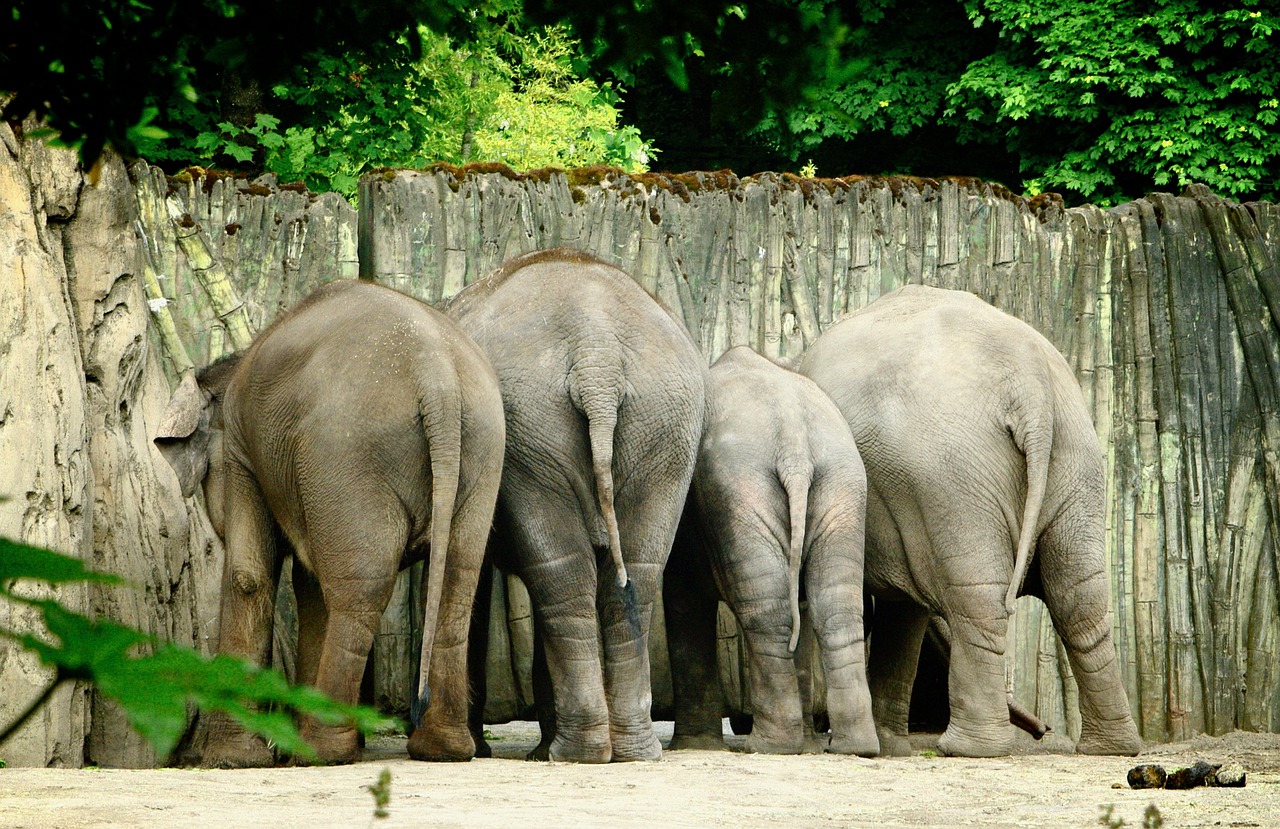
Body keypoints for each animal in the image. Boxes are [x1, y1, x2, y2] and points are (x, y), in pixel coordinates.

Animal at [154, 276, 504, 762]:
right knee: (455, 583)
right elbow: (309, 585)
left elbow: (249, 577)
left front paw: (230, 760)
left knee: (360, 591)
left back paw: (321, 751)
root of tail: (438, 379)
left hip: (346, 453)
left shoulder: (242, 455)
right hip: (480, 449)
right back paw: (441, 749)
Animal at [442, 248, 706, 762]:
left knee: (562, 573)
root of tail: (596, 353)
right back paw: (628, 750)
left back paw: (570, 752)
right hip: (658, 425)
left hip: (541, 428)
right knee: (633, 572)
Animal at [660, 345, 880, 752]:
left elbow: (683, 600)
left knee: (768, 610)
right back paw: (852, 747)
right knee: (835, 607)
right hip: (842, 485)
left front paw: (693, 746)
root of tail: (794, 446)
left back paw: (766, 745)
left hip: (742, 489)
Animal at [798, 285, 1141, 757]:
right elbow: (903, 610)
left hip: (952, 475)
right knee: (1080, 602)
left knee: (979, 598)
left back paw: (967, 748)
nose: (1042, 730)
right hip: (1073, 462)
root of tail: (1031, 384)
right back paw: (1110, 748)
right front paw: (890, 746)